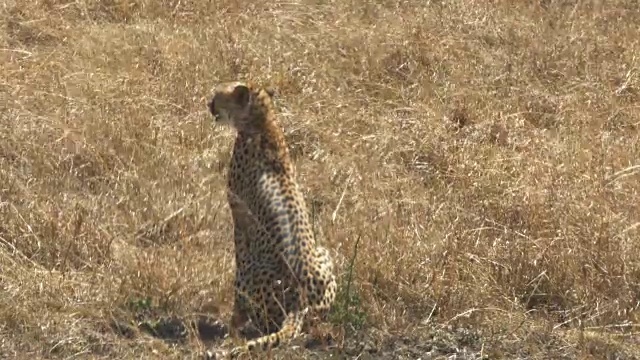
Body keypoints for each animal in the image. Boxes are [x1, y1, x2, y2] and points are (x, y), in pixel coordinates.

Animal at [209, 81, 340, 354]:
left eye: (217, 98)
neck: (263, 120)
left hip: (251, 276)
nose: (209, 104)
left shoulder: (240, 220)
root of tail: (298, 301)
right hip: (323, 253)